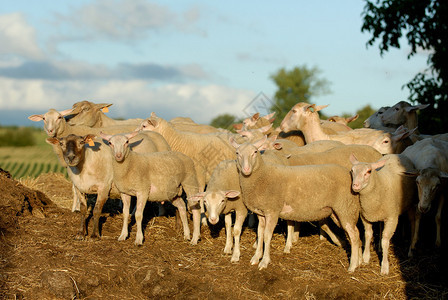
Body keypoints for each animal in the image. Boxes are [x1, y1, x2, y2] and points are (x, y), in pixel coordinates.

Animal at [229, 137, 362, 274]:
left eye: (255, 152)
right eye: (237, 153)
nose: (246, 169)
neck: (262, 175)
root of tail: (349, 174)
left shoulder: (272, 211)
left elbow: (267, 236)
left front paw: (264, 262)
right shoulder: (261, 213)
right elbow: (260, 234)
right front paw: (256, 257)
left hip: (345, 207)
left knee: (354, 235)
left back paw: (352, 266)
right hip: (338, 211)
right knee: (356, 234)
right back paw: (359, 262)